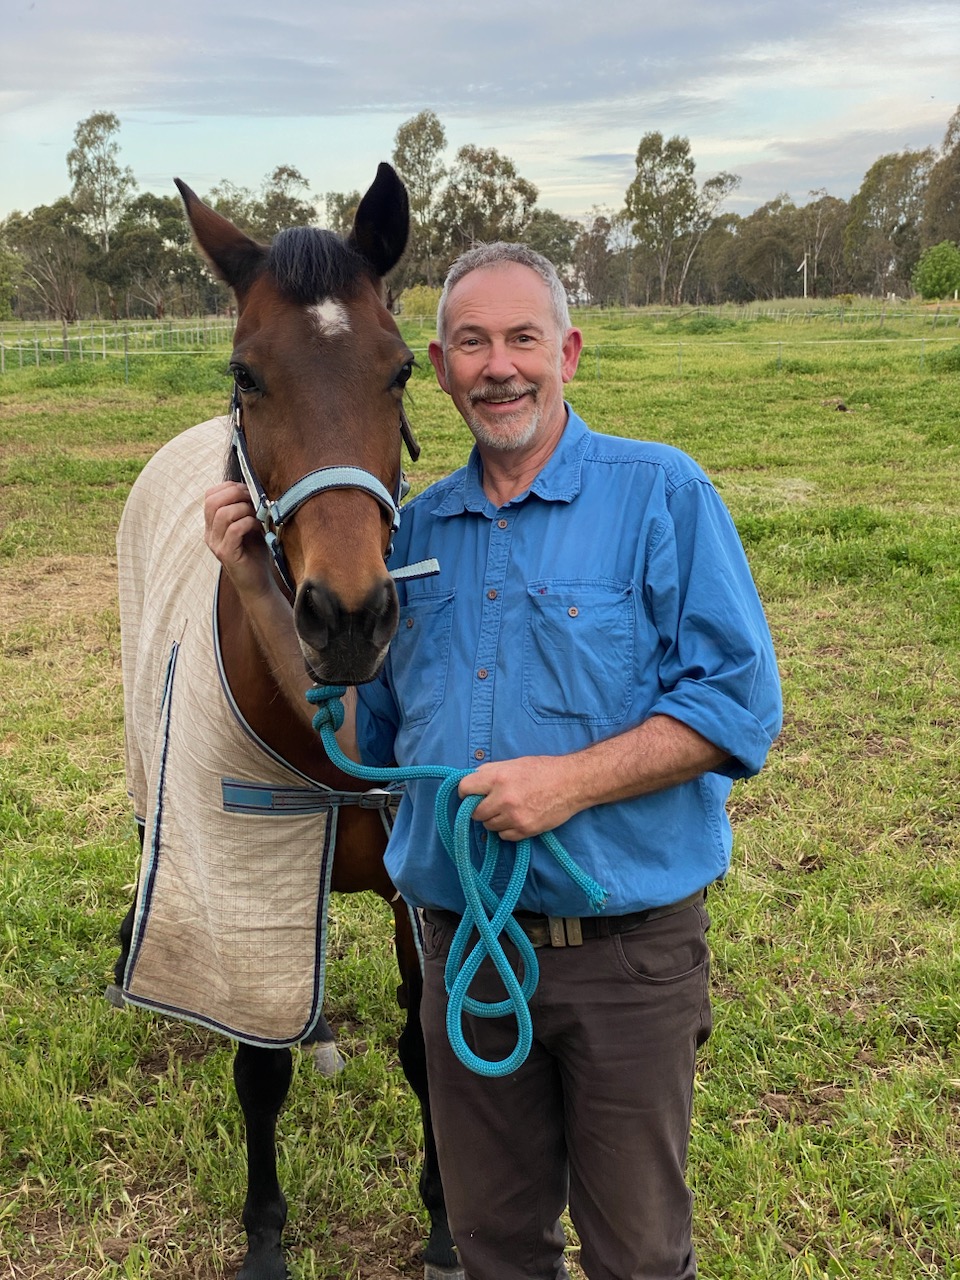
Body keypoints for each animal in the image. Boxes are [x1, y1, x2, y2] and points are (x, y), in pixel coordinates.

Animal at [109, 164, 461, 1280]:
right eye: (247, 373)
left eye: (400, 370)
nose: (346, 616)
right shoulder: (234, 862)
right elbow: (257, 1067)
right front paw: (265, 1235)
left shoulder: (417, 888)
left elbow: (426, 1049)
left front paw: (446, 1226)